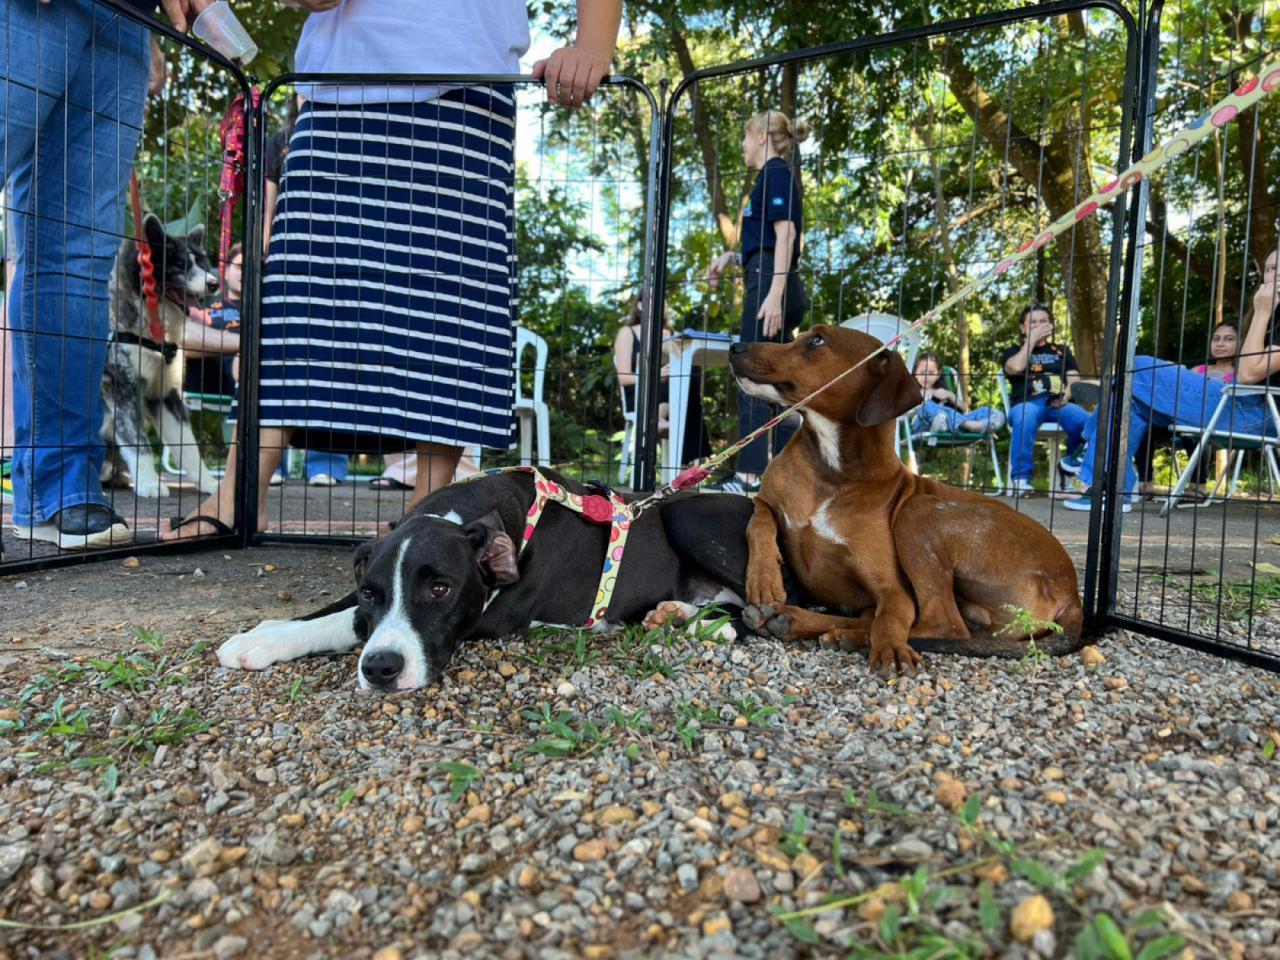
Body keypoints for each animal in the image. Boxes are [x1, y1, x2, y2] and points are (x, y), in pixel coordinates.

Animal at [100, 214, 221, 498]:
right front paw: (149, 482)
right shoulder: (123, 390)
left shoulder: (165, 396)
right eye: (180, 265)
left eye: (202, 263)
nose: (214, 283)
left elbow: (189, 446)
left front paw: (208, 483)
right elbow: (139, 443)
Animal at [217, 469, 807, 691]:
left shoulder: (492, 615)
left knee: (778, 610)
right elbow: (339, 612)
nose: (381, 670)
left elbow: (347, 624)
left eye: (441, 589)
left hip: (691, 516)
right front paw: (264, 633)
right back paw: (676, 614)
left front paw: (263, 640)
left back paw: (716, 623)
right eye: (371, 591)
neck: (470, 516)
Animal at [729, 324, 1086, 672]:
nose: (735, 346)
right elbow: (759, 519)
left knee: (945, 626)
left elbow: (889, 618)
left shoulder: (893, 591)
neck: (832, 470)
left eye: (817, 340)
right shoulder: (767, 501)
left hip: (918, 512)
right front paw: (764, 577)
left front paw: (889, 646)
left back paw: (842, 633)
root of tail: (1072, 594)